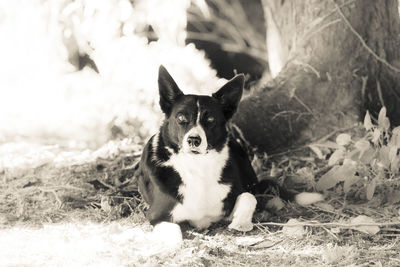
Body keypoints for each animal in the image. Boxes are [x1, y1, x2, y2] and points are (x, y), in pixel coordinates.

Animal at [136, 65, 324, 232]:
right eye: (181, 118)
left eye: (210, 119)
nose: (194, 140)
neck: (197, 166)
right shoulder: (155, 215)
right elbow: (173, 231)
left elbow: (248, 197)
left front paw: (241, 222)